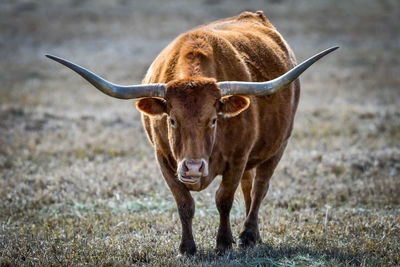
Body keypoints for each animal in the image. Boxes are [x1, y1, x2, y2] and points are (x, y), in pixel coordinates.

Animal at [47, 11, 338, 256]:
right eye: (172, 120)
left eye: (213, 120)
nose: (194, 168)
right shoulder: (164, 159)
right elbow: (184, 204)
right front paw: (187, 248)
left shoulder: (238, 158)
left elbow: (224, 199)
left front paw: (223, 244)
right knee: (248, 187)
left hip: (277, 147)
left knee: (259, 188)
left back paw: (248, 235)